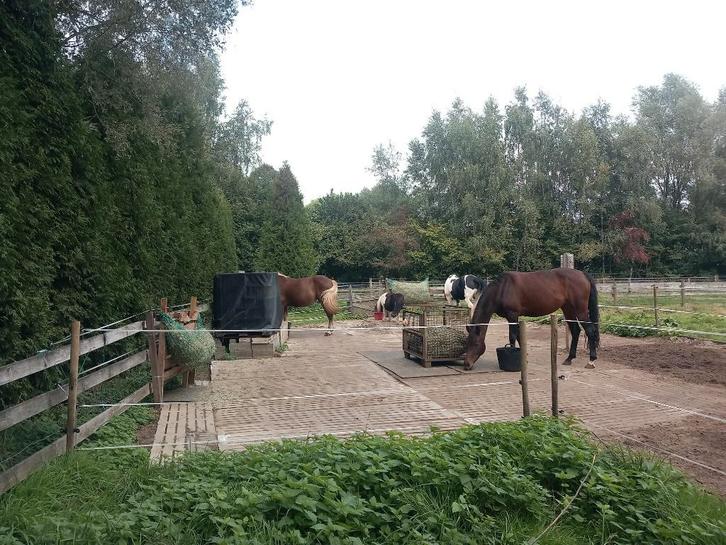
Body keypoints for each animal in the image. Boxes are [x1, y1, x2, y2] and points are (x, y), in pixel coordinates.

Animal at [464, 268, 599, 370]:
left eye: (475, 344)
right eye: (467, 343)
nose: (466, 364)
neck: (502, 288)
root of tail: (582, 274)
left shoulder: (512, 315)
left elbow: (512, 337)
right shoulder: (512, 317)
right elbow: (519, 336)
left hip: (580, 311)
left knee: (590, 331)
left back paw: (591, 360)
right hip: (568, 310)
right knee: (576, 331)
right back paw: (569, 358)